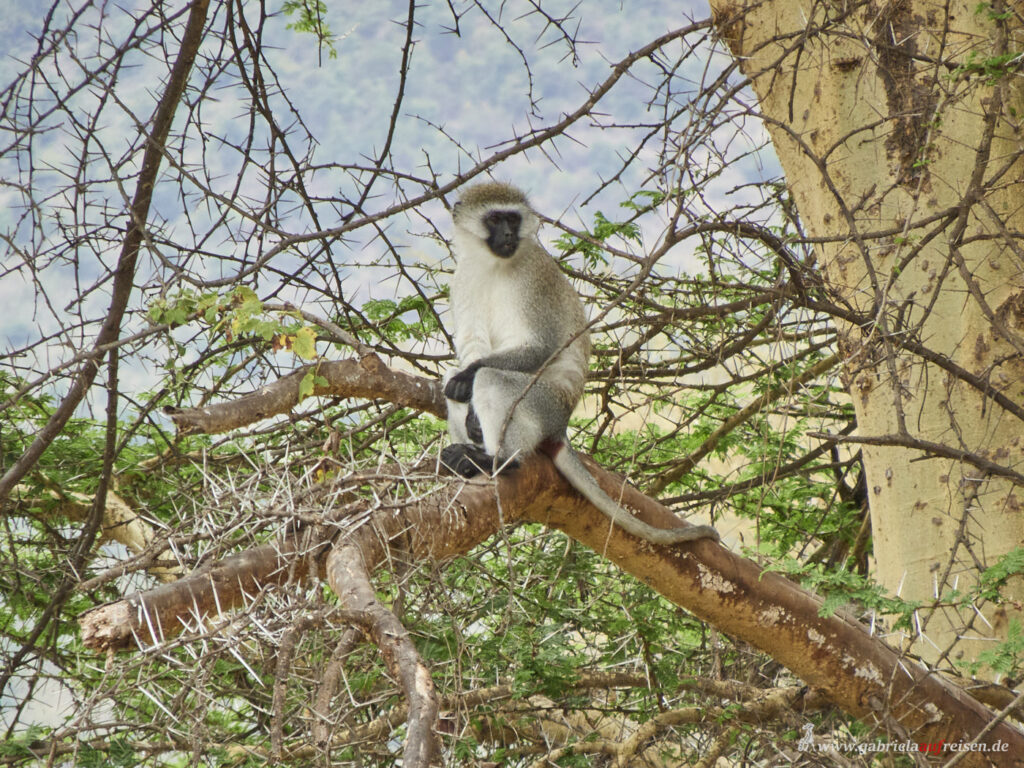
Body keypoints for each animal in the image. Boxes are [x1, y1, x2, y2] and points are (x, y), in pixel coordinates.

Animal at [442, 182, 720, 548]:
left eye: (512, 219)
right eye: (494, 219)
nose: (508, 234)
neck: (492, 265)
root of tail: (560, 427)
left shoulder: (535, 279)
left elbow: (539, 347)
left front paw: (472, 388)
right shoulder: (463, 278)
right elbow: (471, 345)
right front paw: (468, 404)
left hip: (545, 403)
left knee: (488, 379)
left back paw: (499, 460)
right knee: (453, 381)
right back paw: (468, 452)